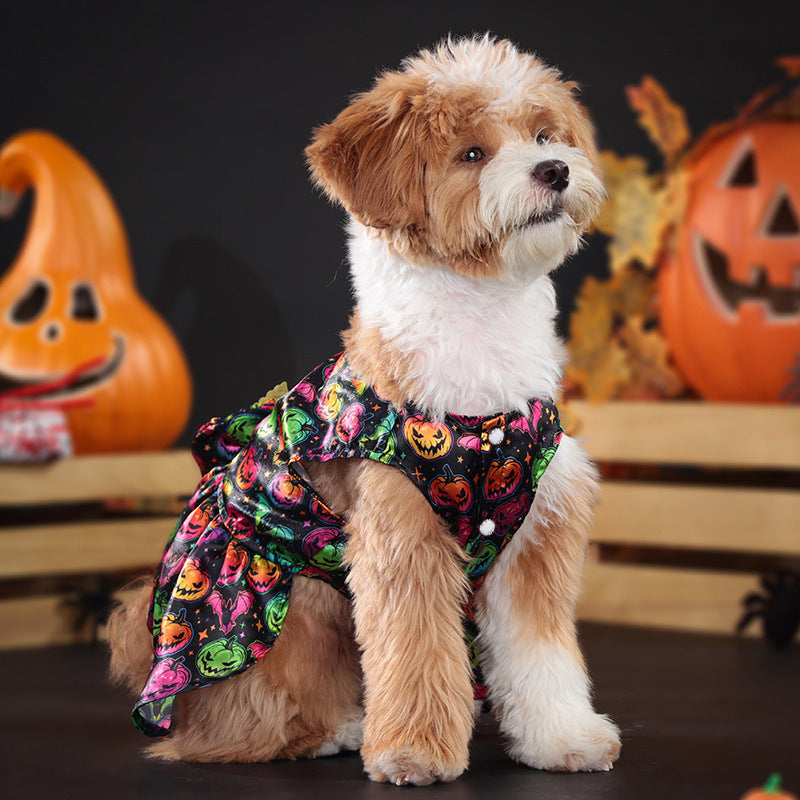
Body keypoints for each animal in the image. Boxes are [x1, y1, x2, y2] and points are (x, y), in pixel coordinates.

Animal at [108, 36, 620, 788]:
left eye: (544, 135)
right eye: (473, 153)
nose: (554, 169)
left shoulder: (537, 534)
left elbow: (539, 653)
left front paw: (564, 740)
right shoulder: (399, 532)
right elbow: (413, 653)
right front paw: (414, 752)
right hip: (292, 605)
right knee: (241, 723)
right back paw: (333, 729)